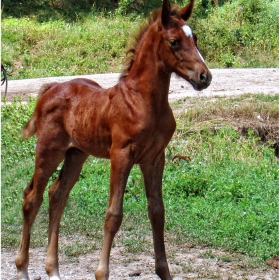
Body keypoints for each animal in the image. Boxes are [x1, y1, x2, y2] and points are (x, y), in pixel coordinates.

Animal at [15, 1, 211, 278]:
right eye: (174, 41)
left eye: (195, 38)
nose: (205, 77)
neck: (144, 101)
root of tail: (50, 89)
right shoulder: (121, 155)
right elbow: (114, 214)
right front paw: (101, 272)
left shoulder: (154, 158)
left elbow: (157, 212)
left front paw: (164, 271)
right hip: (48, 149)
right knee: (32, 197)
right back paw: (22, 268)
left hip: (76, 154)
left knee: (57, 195)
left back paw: (53, 270)